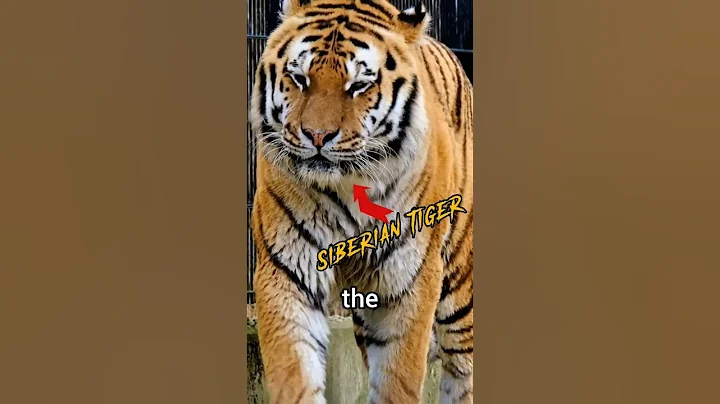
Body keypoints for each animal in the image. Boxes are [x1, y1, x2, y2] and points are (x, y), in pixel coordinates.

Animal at [249, 1, 473, 403]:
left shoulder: (409, 277)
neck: (346, 185)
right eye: (300, 78)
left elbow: (398, 377)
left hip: (460, 285)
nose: (316, 136)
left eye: (359, 86)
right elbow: (295, 369)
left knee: (462, 370)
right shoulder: (287, 270)